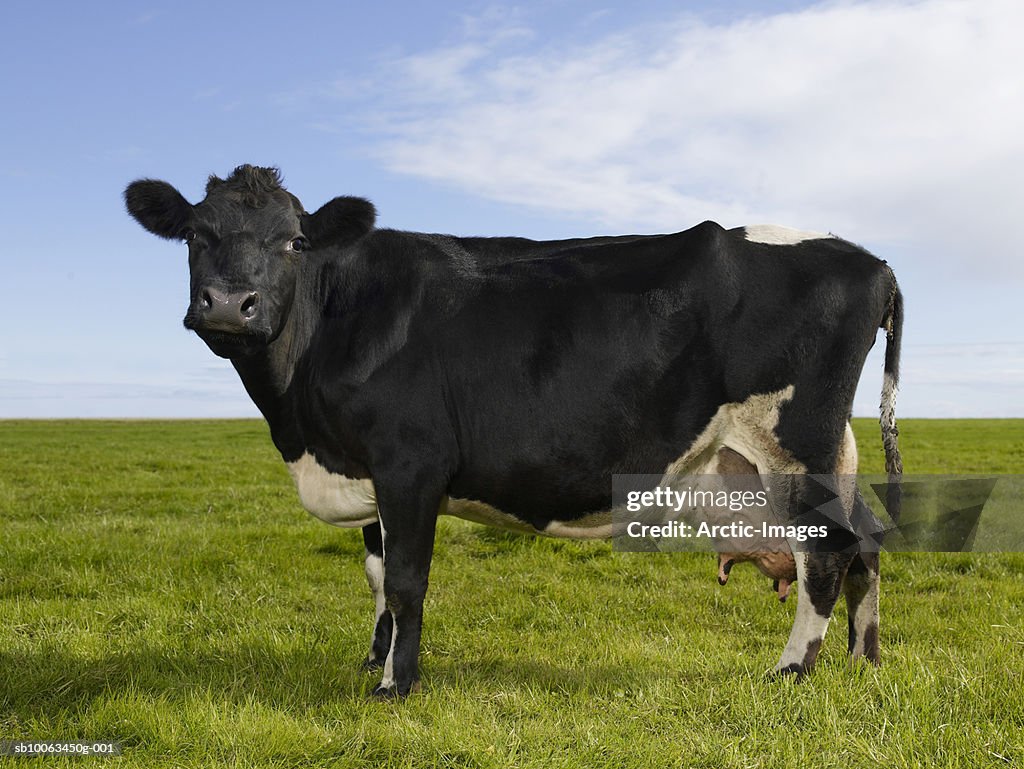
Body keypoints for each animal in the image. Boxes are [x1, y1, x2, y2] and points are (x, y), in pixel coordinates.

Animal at [125, 165, 905, 700]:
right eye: (195, 235)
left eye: (294, 241)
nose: (229, 304)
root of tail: (871, 259)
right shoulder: (367, 470)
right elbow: (376, 573)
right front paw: (374, 658)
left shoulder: (410, 462)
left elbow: (405, 579)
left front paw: (395, 685)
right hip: (820, 451)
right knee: (865, 538)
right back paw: (863, 662)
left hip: (796, 443)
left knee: (827, 551)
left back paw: (790, 669)